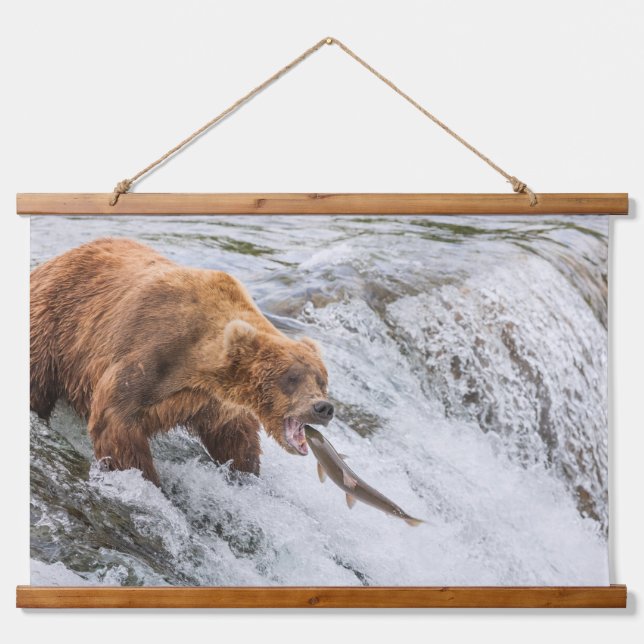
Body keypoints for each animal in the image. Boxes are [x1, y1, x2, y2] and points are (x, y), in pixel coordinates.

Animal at [30, 237, 334, 486]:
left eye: (321, 380)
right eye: (291, 378)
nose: (323, 407)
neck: (198, 364)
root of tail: (53, 261)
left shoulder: (213, 402)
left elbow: (235, 437)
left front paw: (245, 472)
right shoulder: (149, 353)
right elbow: (115, 422)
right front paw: (149, 480)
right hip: (54, 329)